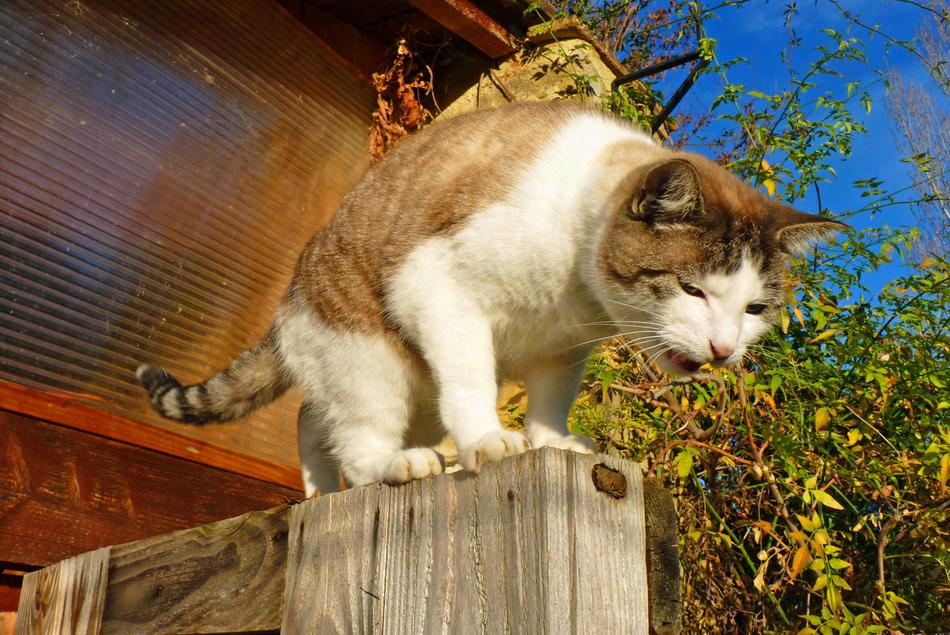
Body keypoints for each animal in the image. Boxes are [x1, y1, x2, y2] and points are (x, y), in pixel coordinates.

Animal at [136, 102, 848, 496]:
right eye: (692, 288)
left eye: (754, 310)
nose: (723, 350)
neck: (576, 288)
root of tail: (287, 303)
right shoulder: (438, 290)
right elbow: (473, 381)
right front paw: (487, 439)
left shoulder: (565, 348)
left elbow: (551, 404)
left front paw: (550, 443)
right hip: (374, 358)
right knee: (357, 440)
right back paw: (401, 465)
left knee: (314, 419)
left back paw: (317, 492)